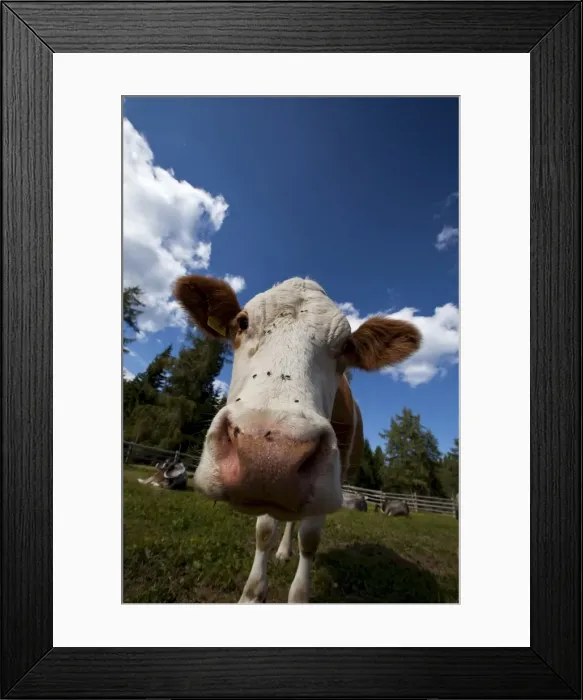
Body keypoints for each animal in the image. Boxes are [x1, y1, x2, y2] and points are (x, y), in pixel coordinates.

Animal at [173, 274, 421, 603]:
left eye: (346, 345)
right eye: (242, 322)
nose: (269, 456)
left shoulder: (329, 484)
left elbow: (310, 540)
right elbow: (264, 531)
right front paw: (252, 592)